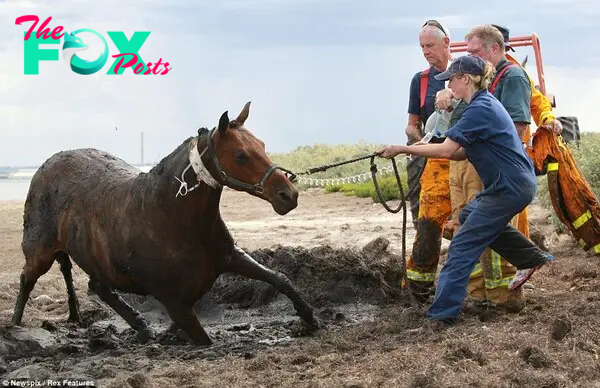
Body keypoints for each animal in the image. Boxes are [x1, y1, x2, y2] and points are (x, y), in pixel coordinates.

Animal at [10, 101, 318, 344]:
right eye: (240, 155)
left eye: (262, 145)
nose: (288, 195)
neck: (170, 217)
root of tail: (46, 164)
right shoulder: (176, 304)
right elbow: (204, 339)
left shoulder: (230, 257)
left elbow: (279, 278)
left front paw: (309, 318)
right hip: (40, 254)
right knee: (27, 279)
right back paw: (15, 324)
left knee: (99, 288)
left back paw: (141, 327)